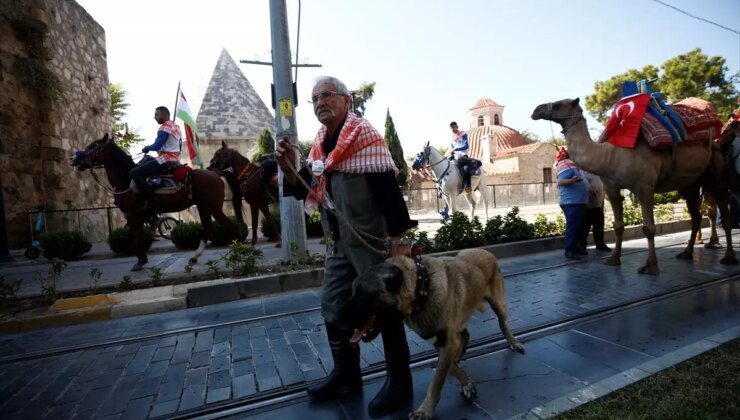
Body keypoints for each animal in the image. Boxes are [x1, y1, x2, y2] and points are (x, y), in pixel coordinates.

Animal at [72, 136, 237, 270]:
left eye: (93, 146)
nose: (75, 160)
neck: (125, 179)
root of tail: (216, 174)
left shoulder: (132, 214)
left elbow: (137, 238)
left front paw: (140, 263)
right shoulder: (136, 216)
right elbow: (138, 236)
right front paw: (142, 260)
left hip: (214, 207)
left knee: (230, 225)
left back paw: (237, 250)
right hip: (203, 208)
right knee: (208, 230)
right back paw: (195, 257)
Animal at [346, 249, 524, 420]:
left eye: (362, 294)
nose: (338, 319)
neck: (422, 288)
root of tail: (486, 251)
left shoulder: (447, 342)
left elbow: (437, 381)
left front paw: (425, 410)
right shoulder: (441, 342)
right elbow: (449, 368)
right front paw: (465, 381)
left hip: (498, 305)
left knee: (502, 324)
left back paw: (513, 342)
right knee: (465, 335)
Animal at [532, 99, 736, 276]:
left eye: (559, 104)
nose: (536, 110)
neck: (610, 155)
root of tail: (715, 142)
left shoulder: (644, 187)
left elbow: (649, 228)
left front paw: (651, 266)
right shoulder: (612, 189)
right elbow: (618, 226)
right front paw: (614, 259)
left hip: (716, 176)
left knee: (724, 215)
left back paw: (728, 257)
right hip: (691, 185)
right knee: (696, 216)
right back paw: (686, 253)